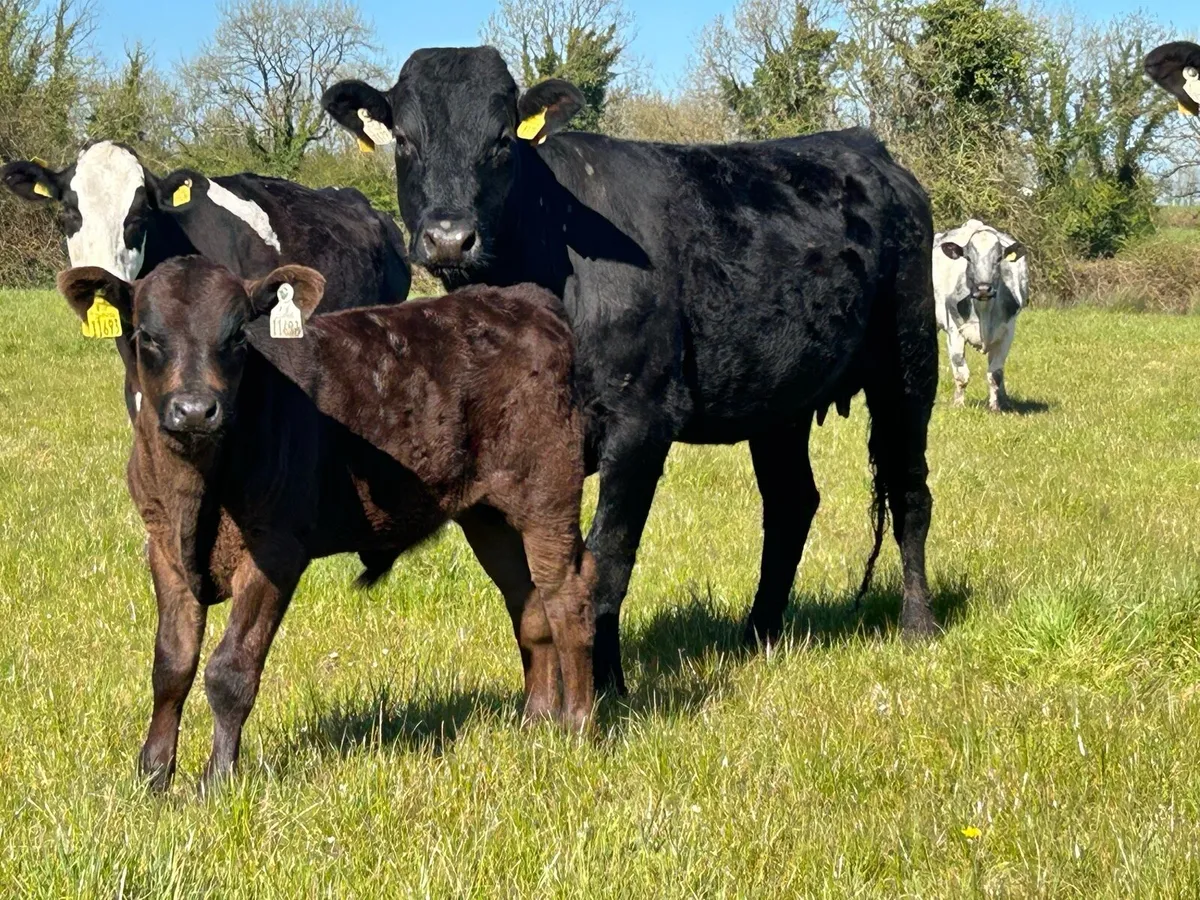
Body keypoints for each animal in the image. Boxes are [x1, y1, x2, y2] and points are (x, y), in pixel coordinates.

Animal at [56, 256, 594, 792]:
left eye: (237, 336)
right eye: (146, 335)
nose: (194, 410)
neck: (195, 496)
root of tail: (522, 298)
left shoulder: (275, 550)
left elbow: (230, 671)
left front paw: (217, 782)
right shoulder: (163, 546)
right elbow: (171, 666)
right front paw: (151, 777)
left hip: (547, 492)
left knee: (567, 595)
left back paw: (577, 727)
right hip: (487, 516)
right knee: (527, 602)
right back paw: (535, 722)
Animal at [322, 47, 941, 695]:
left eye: (501, 141)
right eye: (404, 140)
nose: (449, 238)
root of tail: (862, 144)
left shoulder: (640, 421)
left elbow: (606, 561)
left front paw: (607, 690)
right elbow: (533, 582)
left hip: (909, 361)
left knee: (909, 491)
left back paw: (917, 625)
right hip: (781, 400)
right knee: (792, 502)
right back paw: (759, 635)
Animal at [933, 219, 1028, 411]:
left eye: (999, 259)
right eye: (968, 258)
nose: (983, 288)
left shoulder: (1007, 332)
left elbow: (996, 373)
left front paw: (995, 407)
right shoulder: (954, 331)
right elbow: (961, 373)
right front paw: (958, 404)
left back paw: (1005, 399)